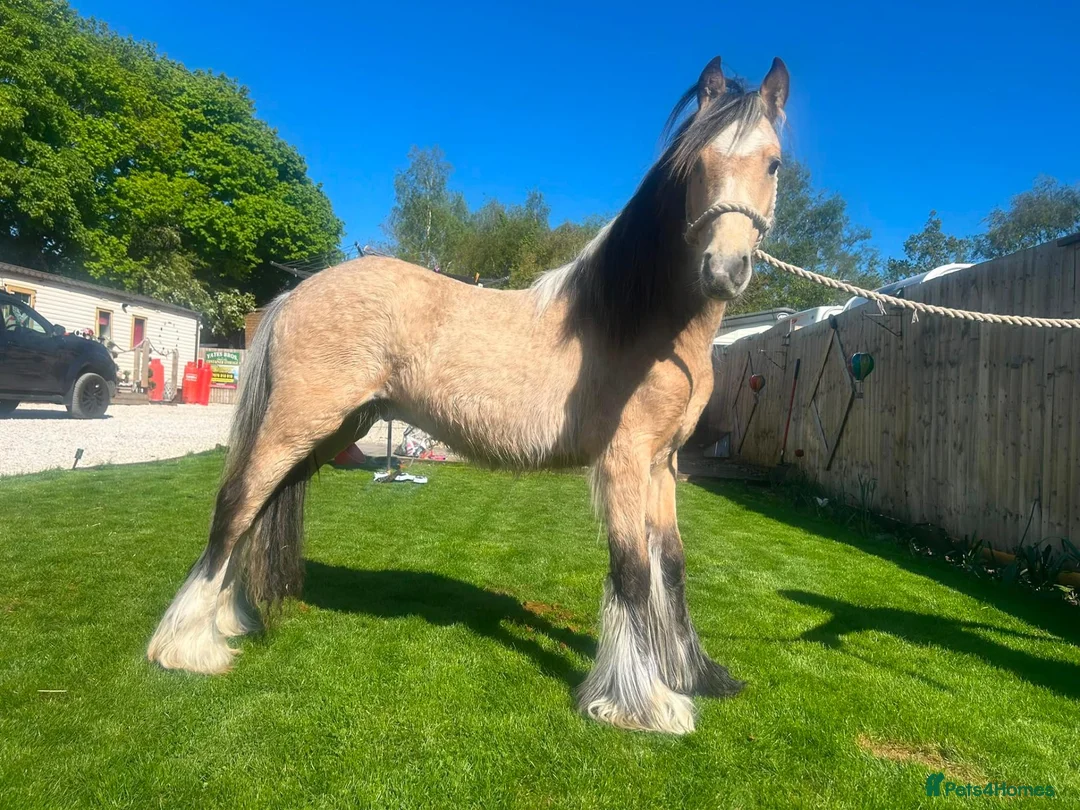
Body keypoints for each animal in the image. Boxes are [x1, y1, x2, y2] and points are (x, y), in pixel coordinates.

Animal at [148, 55, 789, 735]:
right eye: (695, 164)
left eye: (773, 163)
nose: (724, 269)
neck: (641, 325)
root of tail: (298, 291)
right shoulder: (623, 462)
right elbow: (633, 573)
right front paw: (642, 704)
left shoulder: (662, 465)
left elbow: (671, 565)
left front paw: (693, 676)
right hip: (298, 422)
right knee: (235, 505)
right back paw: (188, 647)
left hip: (334, 430)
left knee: (257, 509)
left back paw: (226, 621)